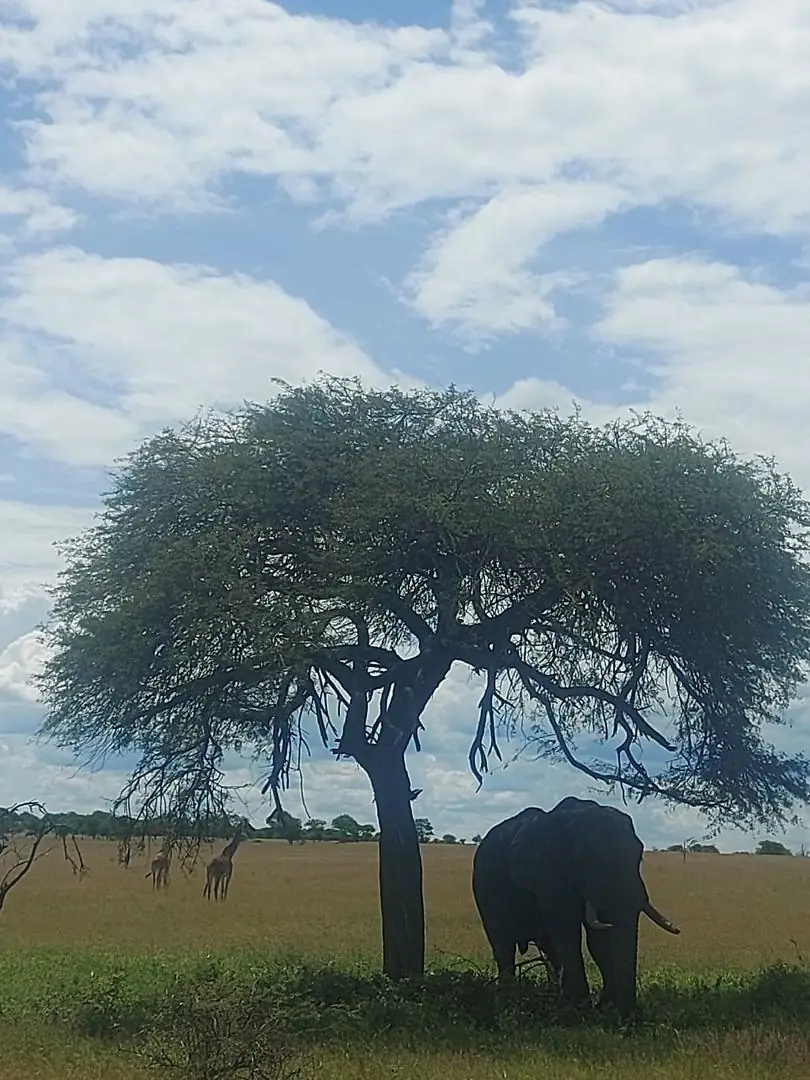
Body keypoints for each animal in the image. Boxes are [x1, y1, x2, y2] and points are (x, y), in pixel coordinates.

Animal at [472, 797, 680, 1018]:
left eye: (639, 857)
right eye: (589, 859)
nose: (629, 1017)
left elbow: (598, 940)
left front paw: (603, 1009)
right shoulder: (548, 873)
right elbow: (567, 932)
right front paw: (581, 1011)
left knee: (548, 948)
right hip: (483, 890)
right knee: (503, 946)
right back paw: (510, 998)